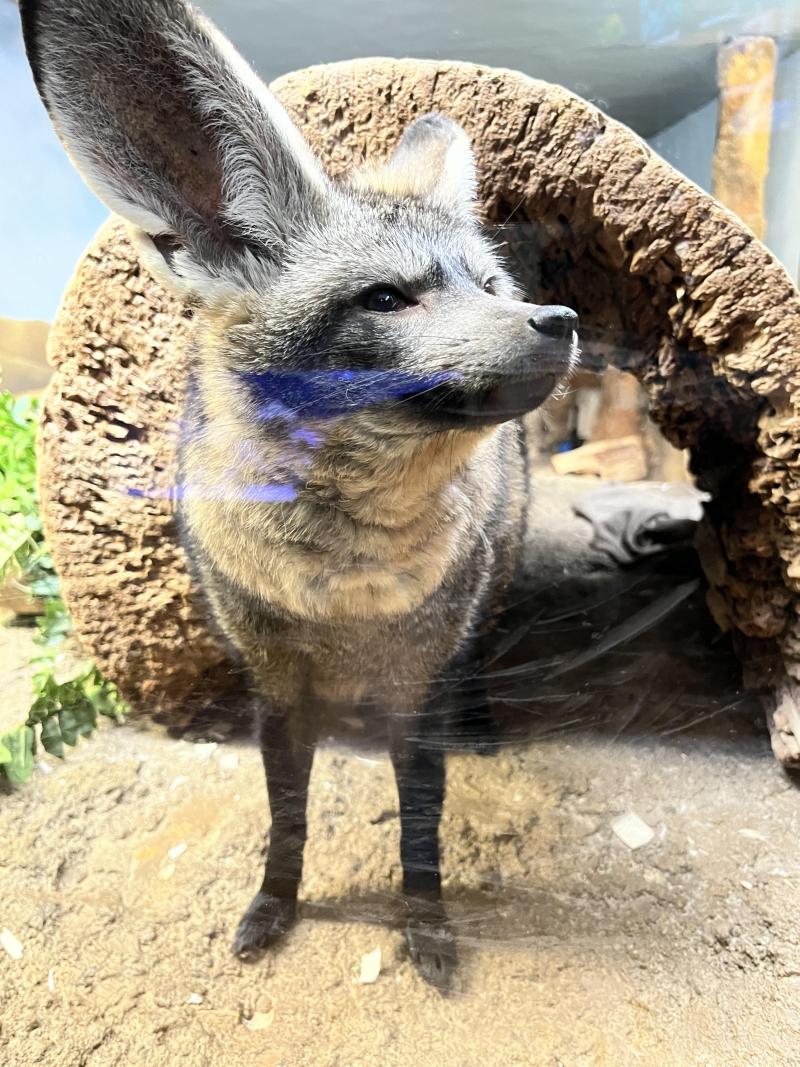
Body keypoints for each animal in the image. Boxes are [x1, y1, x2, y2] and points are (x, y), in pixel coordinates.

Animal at [21, 0, 580, 990]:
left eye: (487, 287)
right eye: (388, 298)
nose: (561, 321)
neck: (344, 590)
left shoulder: (416, 686)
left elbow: (421, 833)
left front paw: (426, 927)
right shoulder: (274, 687)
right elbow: (286, 821)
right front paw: (274, 906)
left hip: (489, 581)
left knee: (478, 649)